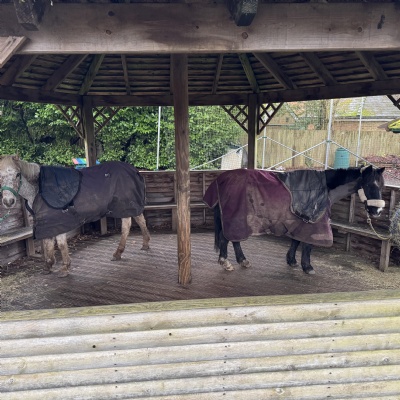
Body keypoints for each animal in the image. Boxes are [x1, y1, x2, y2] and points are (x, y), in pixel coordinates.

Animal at [0, 155, 150, 277]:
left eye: (17, 174)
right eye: (0, 176)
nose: (8, 201)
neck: (39, 190)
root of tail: (134, 170)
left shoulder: (57, 221)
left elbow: (60, 244)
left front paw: (65, 268)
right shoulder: (47, 221)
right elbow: (48, 242)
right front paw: (48, 265)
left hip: (127, 205)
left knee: (132, 224)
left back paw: (129, 249)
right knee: (133, 223)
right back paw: (132, 248)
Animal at [203, 166, 385, 274]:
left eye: (382, 186)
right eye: (369, 185)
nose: (377, 211)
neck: (325, 189)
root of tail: (222, 179)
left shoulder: (299, 222)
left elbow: (296, 241)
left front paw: (291, 261)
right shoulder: (313, 224)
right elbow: (307, 245)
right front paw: (308, 266)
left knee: (234, 239)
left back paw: (243, 260)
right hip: (234, 217)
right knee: (226, 238)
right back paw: (225, 262)